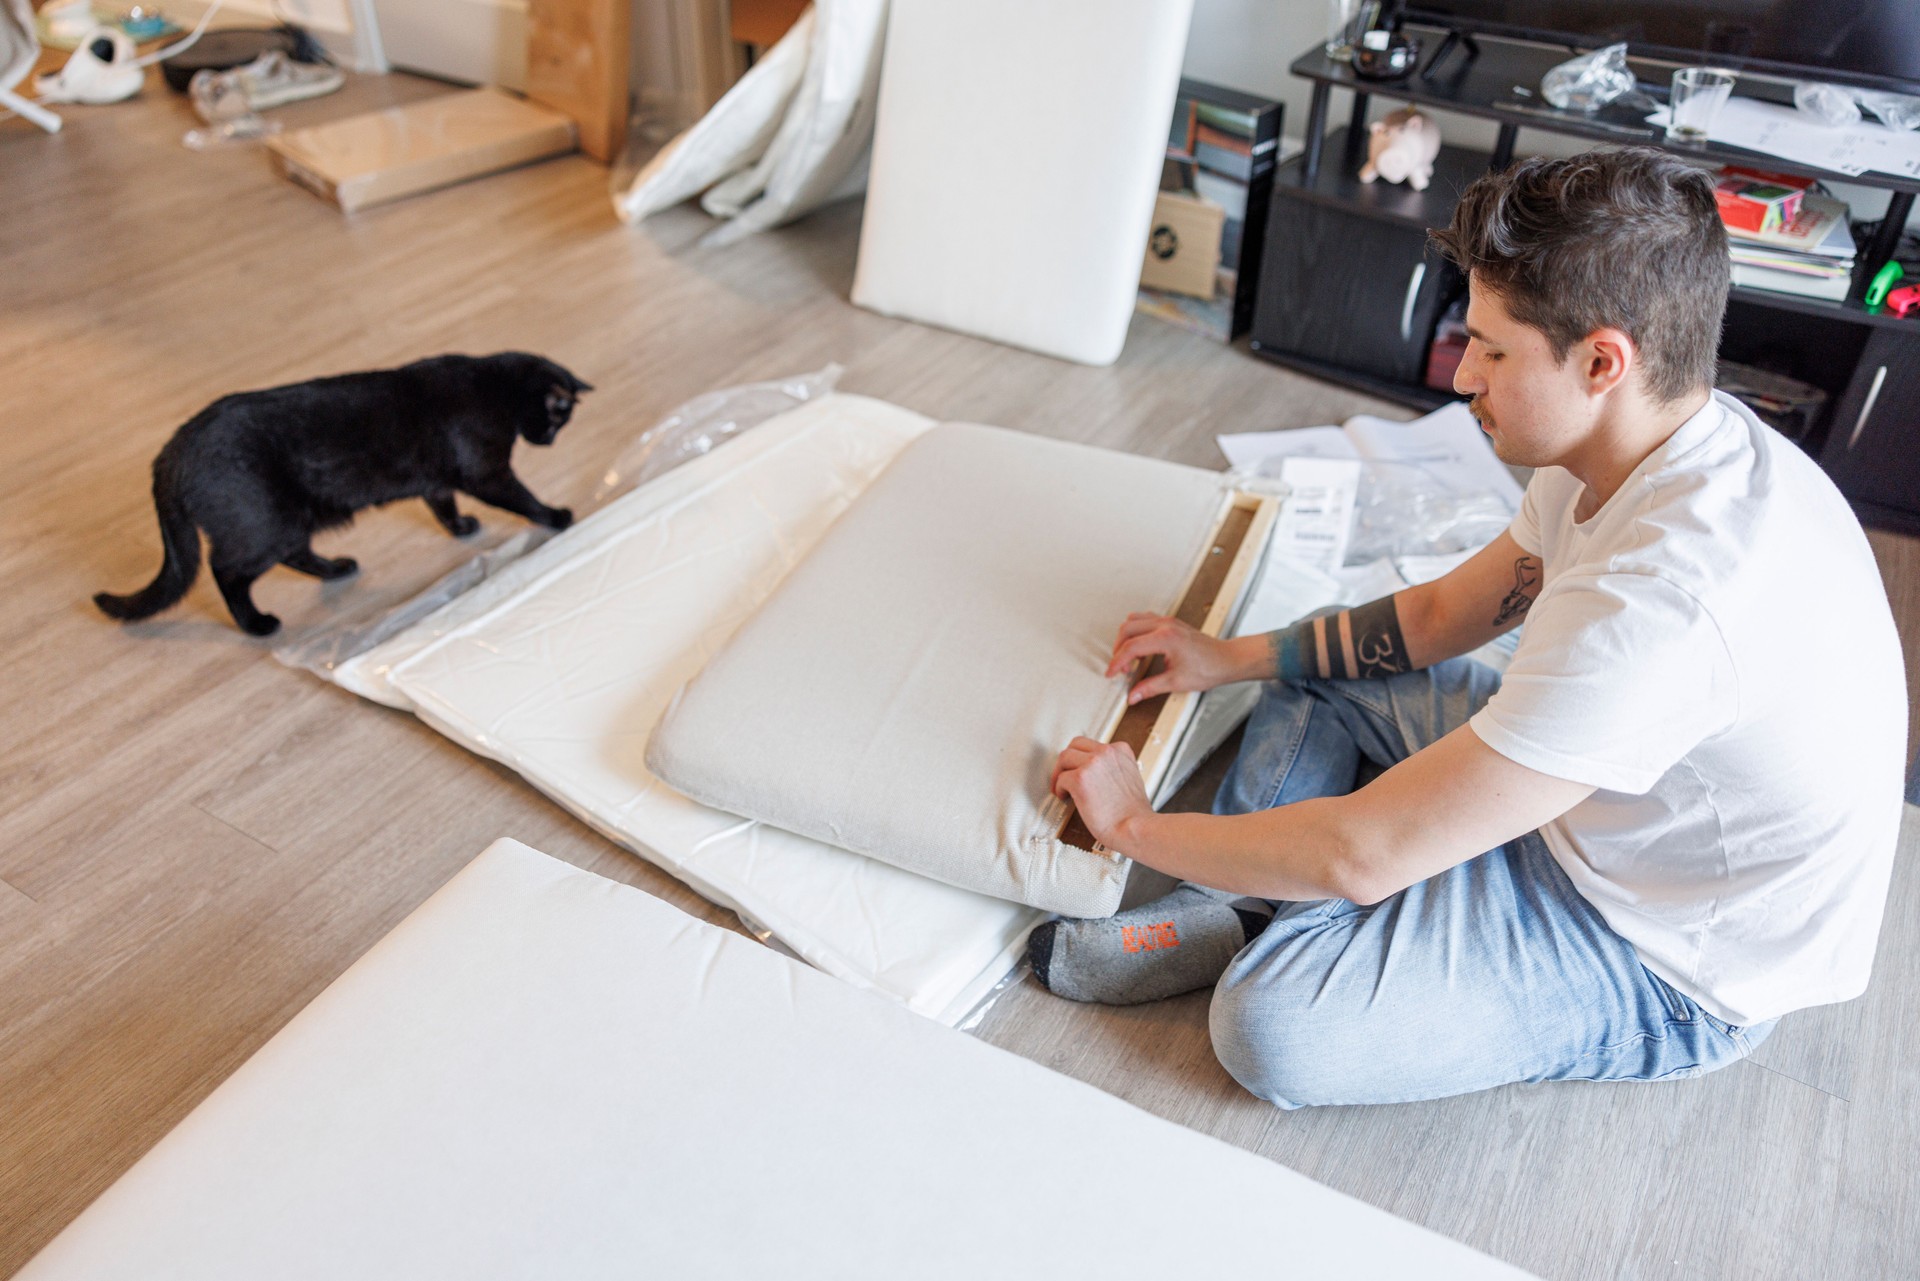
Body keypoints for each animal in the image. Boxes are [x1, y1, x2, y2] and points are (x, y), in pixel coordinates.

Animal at [93, 351, 587, 637]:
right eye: (556, 420)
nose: (550, 441)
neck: (493, 385)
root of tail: (173, 450)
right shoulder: (487, 472)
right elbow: (522, 497)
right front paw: (557, 515)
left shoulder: (437, 480)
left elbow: (441, 504)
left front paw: (462, 527)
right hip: (266, 525)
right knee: (227, 571)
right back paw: (257, 624)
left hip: (292, 520)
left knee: (295, 554)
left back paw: (336, 569)